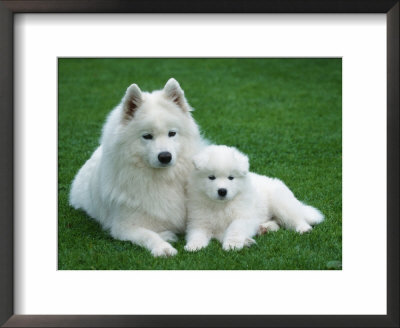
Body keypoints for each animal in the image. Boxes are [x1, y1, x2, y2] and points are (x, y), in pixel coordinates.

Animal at [69, 79, 205, 256]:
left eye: (172, 133)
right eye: (147, 136)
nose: (165, 156)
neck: (162, 179)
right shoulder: (124, 226)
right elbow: (148, 234)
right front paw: (163, 246)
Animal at [185, 145, 324, 251]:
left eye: (231, 178)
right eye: (211, 177)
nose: (222, 191)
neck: (221, 205)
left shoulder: (244, 216)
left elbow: (235, 228)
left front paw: (232, 244)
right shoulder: (199, 221)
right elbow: (197, 233)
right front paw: (194, 245)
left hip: (281, 203)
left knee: (295, 218)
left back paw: (303, 229)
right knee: (277, 222)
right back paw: (264, 228)